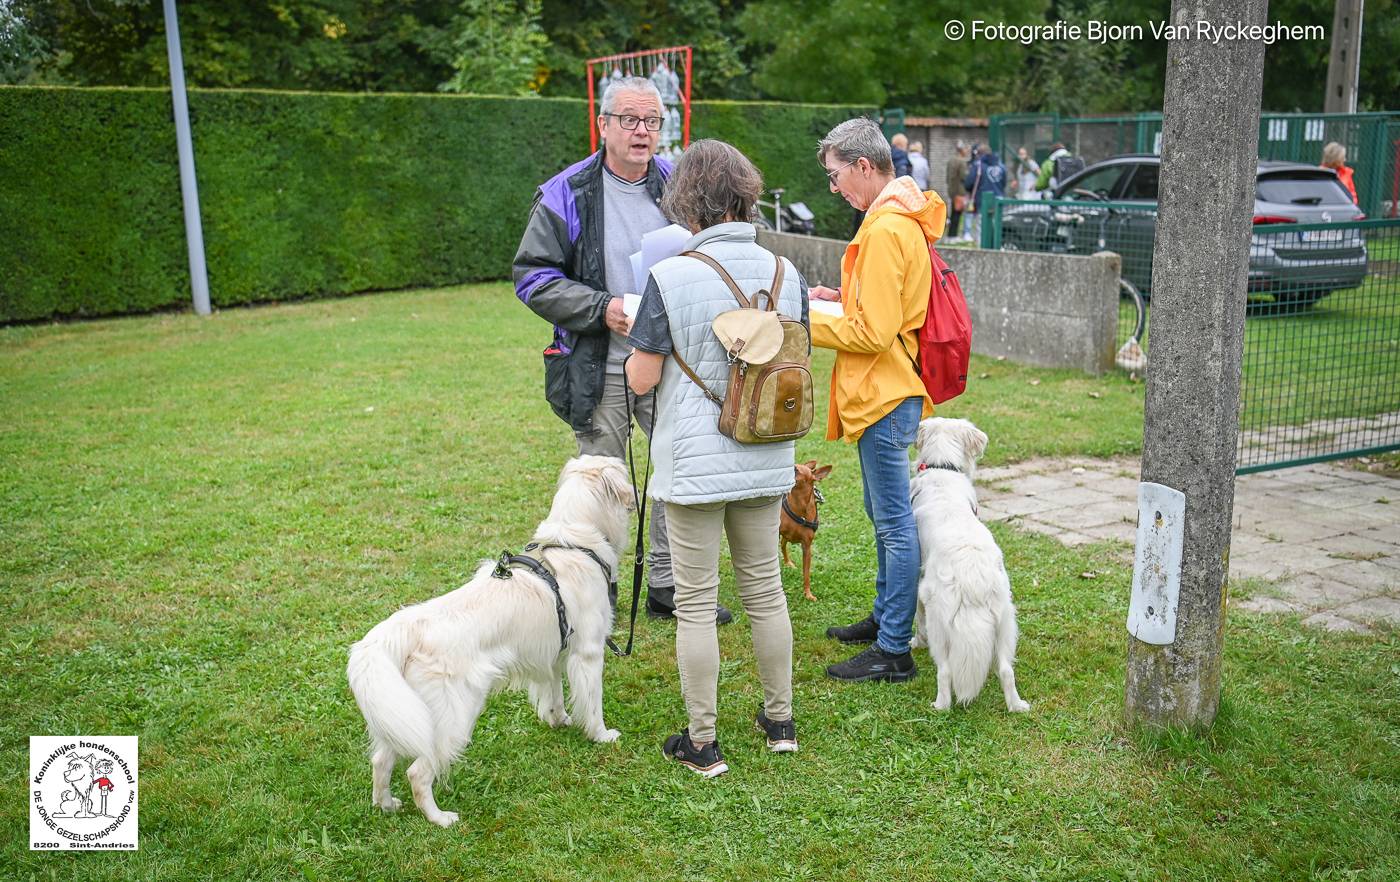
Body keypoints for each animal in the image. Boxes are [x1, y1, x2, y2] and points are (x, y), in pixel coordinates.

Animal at [350, 456, 635, 828]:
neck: (572, 544)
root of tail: (403, 627)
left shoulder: (554, 654)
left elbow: (555, 693)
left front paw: (559, 720)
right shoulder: (588, 653)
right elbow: (593, 703)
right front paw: (601, 735)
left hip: (403, 715)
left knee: (381, 761)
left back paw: (386, 805)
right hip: (453, 716)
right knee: (418, 772)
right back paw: (441, 818)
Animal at [778, 462, 828, 602]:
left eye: (796, 469)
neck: (798, 505)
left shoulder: (807, 547)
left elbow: (806, 574)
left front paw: (808, 594)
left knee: (783, 544)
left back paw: (788, 563)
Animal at [907, 417, 1030, 716]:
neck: (943, 468)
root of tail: (973, 579)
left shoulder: (918, 583)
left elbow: (917, 619)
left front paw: (916, 642)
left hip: (941, 622)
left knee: (945, 671)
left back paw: (940, 705)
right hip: (1006, 622)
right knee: (1006, 670)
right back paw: (1017, 705)